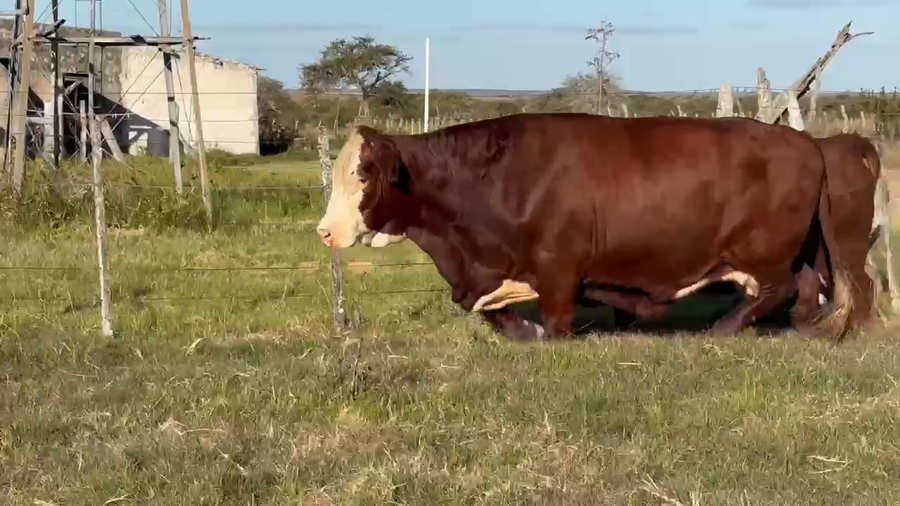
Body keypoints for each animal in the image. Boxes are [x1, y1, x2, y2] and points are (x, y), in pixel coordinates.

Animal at [316, 113, 854, 341]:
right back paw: (802, 328)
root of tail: (807, 141)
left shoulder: (558, 268)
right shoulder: (490, 274)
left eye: (361, 174)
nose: (324, 231)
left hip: (763, 252)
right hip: (796, 252)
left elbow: (555, 324)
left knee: (781, 289)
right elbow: (495, 314)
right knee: (806, 289)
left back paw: (724, 328)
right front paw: (521, 328)